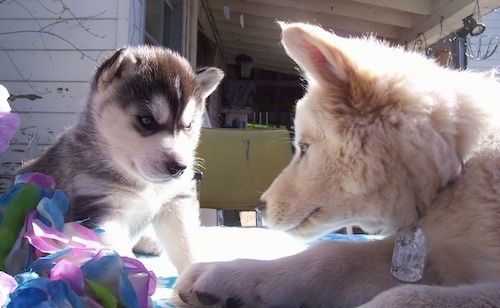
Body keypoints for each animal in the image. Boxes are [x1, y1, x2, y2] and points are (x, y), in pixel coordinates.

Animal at [19, 45, 223, 272]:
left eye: (188, 125)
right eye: (146, 121)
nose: (179, 167)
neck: (144, 186)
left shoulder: (176, 202)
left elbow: (187, 242)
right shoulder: (100, 207)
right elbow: (117, 253)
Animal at [173, 22, 500, 306]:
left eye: (304, 148)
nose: (260, 208)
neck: (458, 166)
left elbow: (406, 297)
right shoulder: (427, 259)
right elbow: (332, 254)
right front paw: (231, 273)